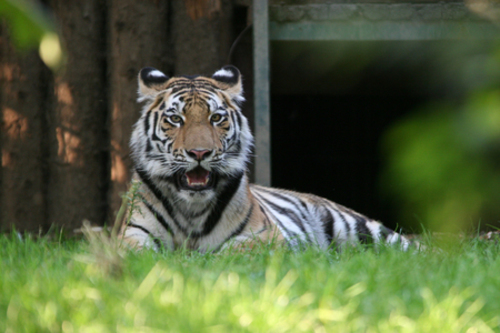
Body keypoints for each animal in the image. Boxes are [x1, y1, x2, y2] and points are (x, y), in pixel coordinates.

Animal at [119, 65, 412, 252]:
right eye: (176, 119)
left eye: (216, 118)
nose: (200, 153)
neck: (191, 207)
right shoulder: (131, 233)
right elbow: (135, 252)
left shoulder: (264, 235)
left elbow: (232, 252)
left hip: (359, 228)